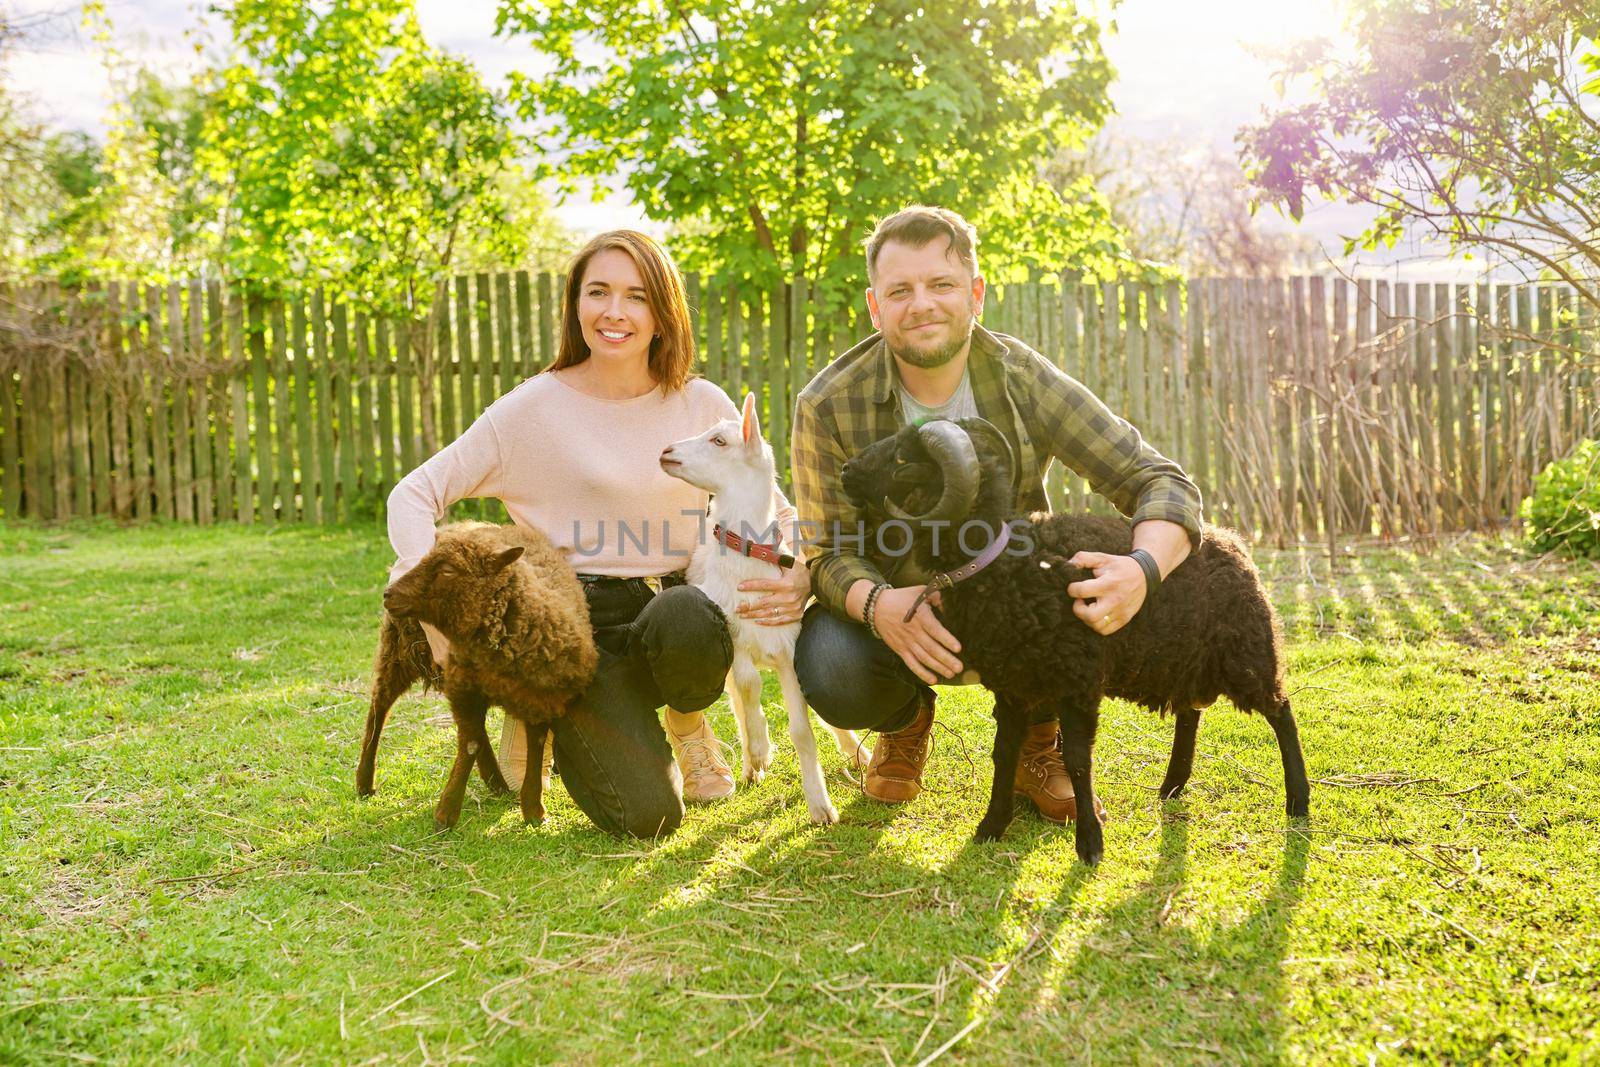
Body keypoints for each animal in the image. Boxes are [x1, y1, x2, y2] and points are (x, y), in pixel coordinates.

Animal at [356, 521, 601, 831]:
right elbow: (469, 745)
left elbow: (534, 747)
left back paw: (496, 781)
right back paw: (365, 781)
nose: (388, 594)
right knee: (379, 707)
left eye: (448, 570)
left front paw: (534, 809)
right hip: (399, 652)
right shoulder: (463, 688)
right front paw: (447, 813)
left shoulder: (538, 699)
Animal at [656, 396, 870, 825]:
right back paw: (752, 763)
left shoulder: (789, 650)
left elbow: (803, 729)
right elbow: (749, 684)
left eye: (719, 441)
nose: (666, 451)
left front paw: (820, 806)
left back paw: (859, 755)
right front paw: (761, 748)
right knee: (739, 702)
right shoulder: (732, 635)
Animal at [844, 419, 1305, 870]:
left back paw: (1298, 800)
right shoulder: (1013, 686)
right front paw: (991, 826)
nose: (847, 470)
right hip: (1182, 657)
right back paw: (1172, 785)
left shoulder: (1077, 683)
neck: (999, 562)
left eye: (902, 460)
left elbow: (1079, 761)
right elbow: (1003, 752)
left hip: (1248, 653)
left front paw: (1089, 843)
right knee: (1190, 713)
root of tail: (1233, 542)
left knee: (1281, 711)